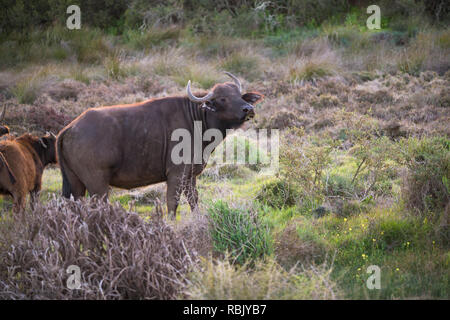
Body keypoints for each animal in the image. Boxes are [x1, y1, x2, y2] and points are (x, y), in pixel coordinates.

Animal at [56, 72, 262, 218]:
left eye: (239, 95)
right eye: (222, 98)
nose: (248, 109)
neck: (196, 119)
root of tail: (69, 129)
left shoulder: (190, 176)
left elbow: (194, 200)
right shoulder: (176, 174)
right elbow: (172, 203)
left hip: (75, 183)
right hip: (97, 183)